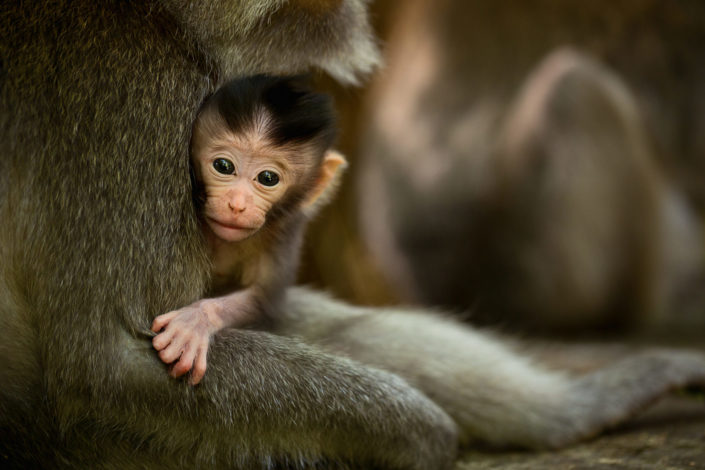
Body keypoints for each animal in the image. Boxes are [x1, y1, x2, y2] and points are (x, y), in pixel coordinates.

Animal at [152, 75, 346, 386]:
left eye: (268, 178)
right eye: (223, 166)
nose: (237, 205)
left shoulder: (283, 234)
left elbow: (263, 299)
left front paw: (197, 321)